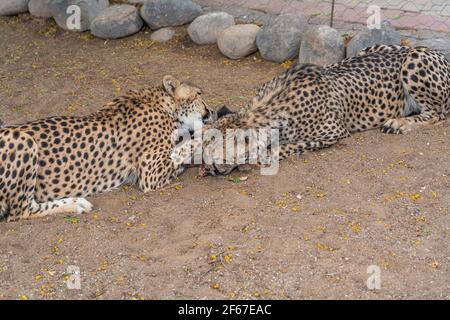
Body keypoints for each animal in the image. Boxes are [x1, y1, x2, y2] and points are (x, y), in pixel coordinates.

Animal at [0, 75, 211, 221]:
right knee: (21, 211)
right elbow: (186, 147)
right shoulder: (150, 174)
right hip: (23, 140)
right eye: (199, 94)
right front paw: (210, 131)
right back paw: (76, 203)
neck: (162, 104)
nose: (210, 111)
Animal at [201, 44, 450, 175]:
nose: (207, 170)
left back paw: (400, 123)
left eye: (213, 158)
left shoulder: (334, 132)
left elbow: (289, 145)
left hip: (415, 58)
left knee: (437, 115)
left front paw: (261, 155)